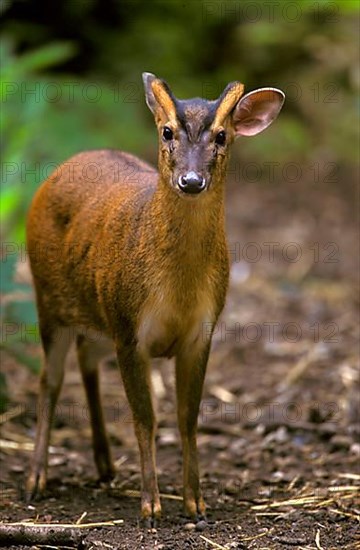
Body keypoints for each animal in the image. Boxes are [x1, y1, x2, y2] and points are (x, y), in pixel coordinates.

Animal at [26, 73, 284, 528]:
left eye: (222, 135)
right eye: (167, 131)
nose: (191, 181)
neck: (179, 289)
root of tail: (62, 168)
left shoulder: (200, 332)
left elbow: (187, 417)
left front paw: (195, 502)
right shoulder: (131, 330)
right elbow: (146, 418)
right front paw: (150, 506)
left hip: (99, 315)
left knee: (86, 358)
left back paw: (105, 464)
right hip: (50, 302)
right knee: (49, 380)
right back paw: (36, 479)